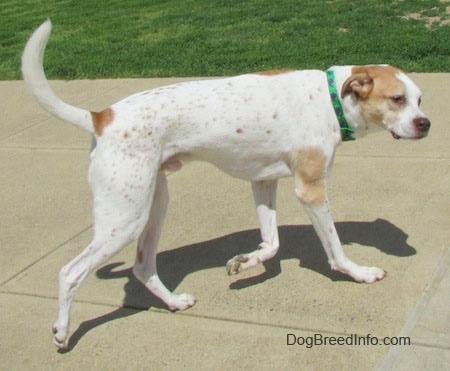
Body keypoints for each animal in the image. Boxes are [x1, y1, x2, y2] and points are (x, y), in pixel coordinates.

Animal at [22, 19, 432, 352]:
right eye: (397, 99)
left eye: (419, 100)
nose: (426, 123)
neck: (330, 99)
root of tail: (101, 116)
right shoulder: (310, 190)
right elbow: (334, 249)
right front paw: (360, 273)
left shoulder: (263, 182)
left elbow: (272, 243)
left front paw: (246, 261)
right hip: (124, 218)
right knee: (70, 272)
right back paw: (62, 332)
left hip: (154, 206)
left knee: (142, 267)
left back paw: (174, 302)